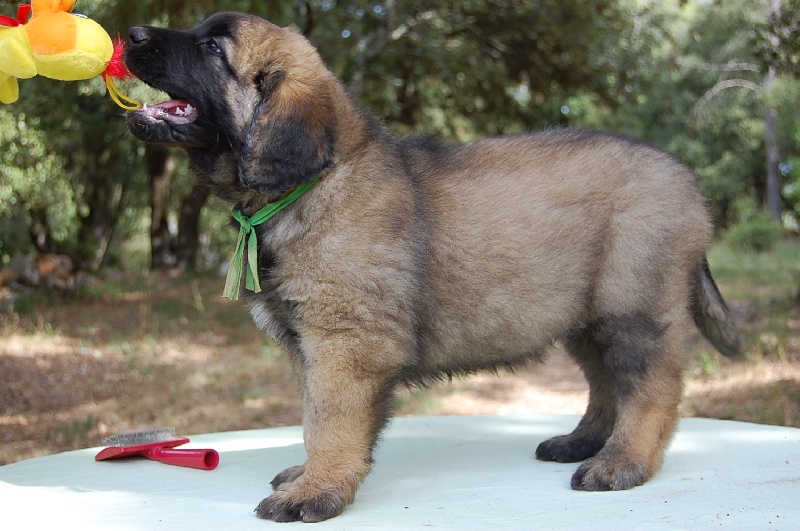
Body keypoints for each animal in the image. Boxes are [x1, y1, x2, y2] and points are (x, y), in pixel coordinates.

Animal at [123, 12, 742, 523]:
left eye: (212, 47)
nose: (130, 33)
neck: (313, 183)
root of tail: (687, 181)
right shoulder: (315, 346)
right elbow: (315, 418)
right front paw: (310, 476)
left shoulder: (346, 343)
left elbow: (327, 421)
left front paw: (315, 492)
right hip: (584, 315)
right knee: (604, 383)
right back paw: (581, 442)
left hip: (630, 306)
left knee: (651, 387)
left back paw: (622, 463)